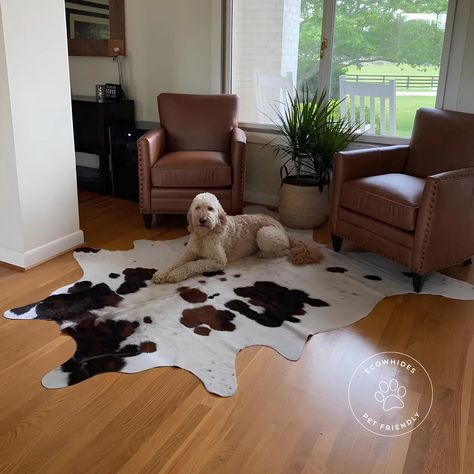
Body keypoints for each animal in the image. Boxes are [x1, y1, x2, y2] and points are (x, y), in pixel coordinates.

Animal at [152, 191, 322, 284]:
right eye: (197, 208)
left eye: (210, 209)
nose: (202, 220)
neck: (204, 235)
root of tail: (283, 228)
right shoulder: (190, 253)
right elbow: (176, 262)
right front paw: (162, 273)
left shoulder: (218, 261)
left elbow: (193, 265)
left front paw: (175, 275)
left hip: (264, 234)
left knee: (284, 250)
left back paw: (262, 254)